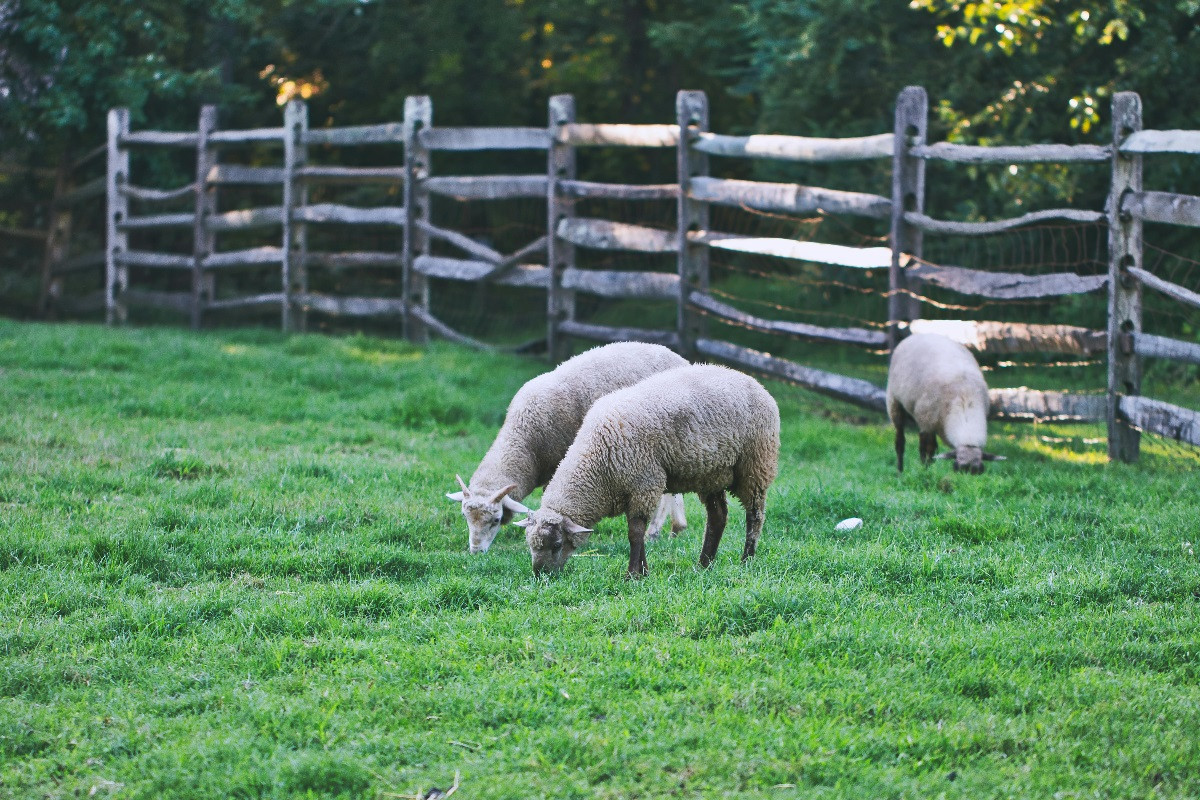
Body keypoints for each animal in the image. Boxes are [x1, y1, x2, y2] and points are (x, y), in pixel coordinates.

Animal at [444, 340, 686, 554]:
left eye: (495, 520)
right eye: (465, 517)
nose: (476, 551)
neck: (526, 443)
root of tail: (679, 358)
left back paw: (656, 531)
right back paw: (676, 528)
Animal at [513, 367, 777, 578]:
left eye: (557, 544)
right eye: (530, 544)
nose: (540, 575)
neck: (597, 460)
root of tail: (752, 381)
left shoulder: (644, 483)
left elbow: (635, 533)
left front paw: (633, 574)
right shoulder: (636, 488)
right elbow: (636, 532)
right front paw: (643, 571)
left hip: (756, 464)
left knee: (755, 516)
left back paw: (746, 560)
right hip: (711, 473)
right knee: (718, 517)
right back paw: (704, 564)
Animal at [888, 333, 1008, 474]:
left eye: (980, 471)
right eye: (956, 468)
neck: (965, 399)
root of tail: (917, 335)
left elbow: (932, 449)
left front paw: (930, 469)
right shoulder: (925, 422)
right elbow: (924, 449)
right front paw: (925, 470)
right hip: (894, 402)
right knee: (900, 441)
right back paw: (900, 471)